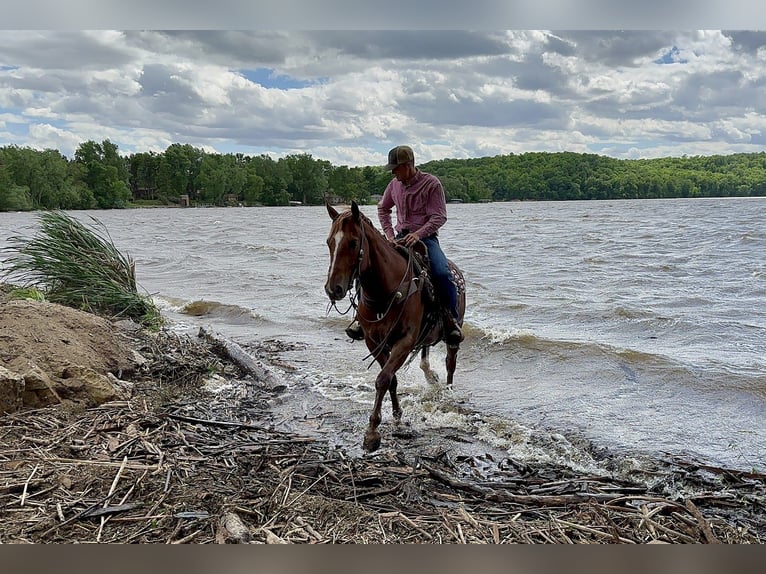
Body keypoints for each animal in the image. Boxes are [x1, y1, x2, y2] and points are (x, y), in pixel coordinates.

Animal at [322, 202, 464, 454]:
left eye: (353, 242)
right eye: (330, 242)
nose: (333, 289)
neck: (385, 290)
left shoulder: (404, 342)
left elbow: (383, 379)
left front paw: (371, 432)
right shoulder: (374, 341)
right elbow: (390, 378)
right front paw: (396, 414)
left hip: (453, 334)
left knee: (451, 364)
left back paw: (446, 391)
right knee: (426, 355)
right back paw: (430, 374)